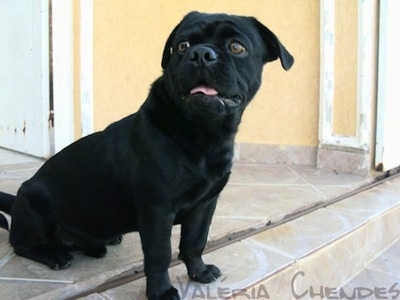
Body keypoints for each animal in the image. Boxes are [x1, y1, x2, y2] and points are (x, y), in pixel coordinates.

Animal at [0, 10, 294, 298]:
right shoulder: (157, 211)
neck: (202, 134)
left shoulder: (205, 205)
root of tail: (17, 198)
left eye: (236, 47)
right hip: (36, 210)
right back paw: (55, 255)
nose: (200, 54)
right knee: (22, 245)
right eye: (182, 46)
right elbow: (159, 255)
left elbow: (195, 242)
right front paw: (161, 291)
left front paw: (198, 272)